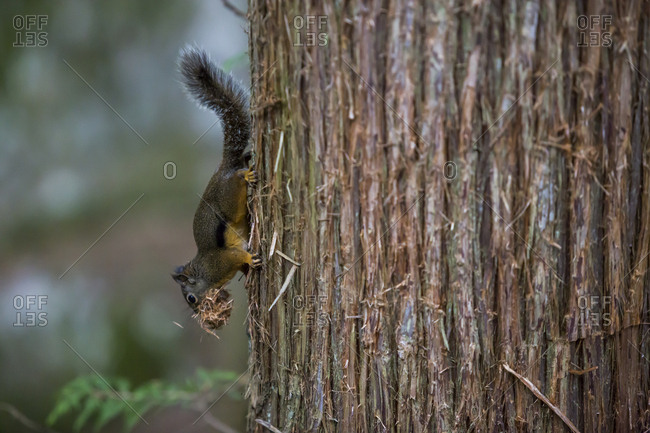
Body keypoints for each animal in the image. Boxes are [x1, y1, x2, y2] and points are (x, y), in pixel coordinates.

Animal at [172, 47, 261, 330]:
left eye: (191, 298)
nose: (200, 315)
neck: (204, 273)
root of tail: (223, 169)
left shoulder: (222, 261)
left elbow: (238, 257)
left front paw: (249, 260)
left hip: (229, 195)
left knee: (239, 177)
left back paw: (247, 174)